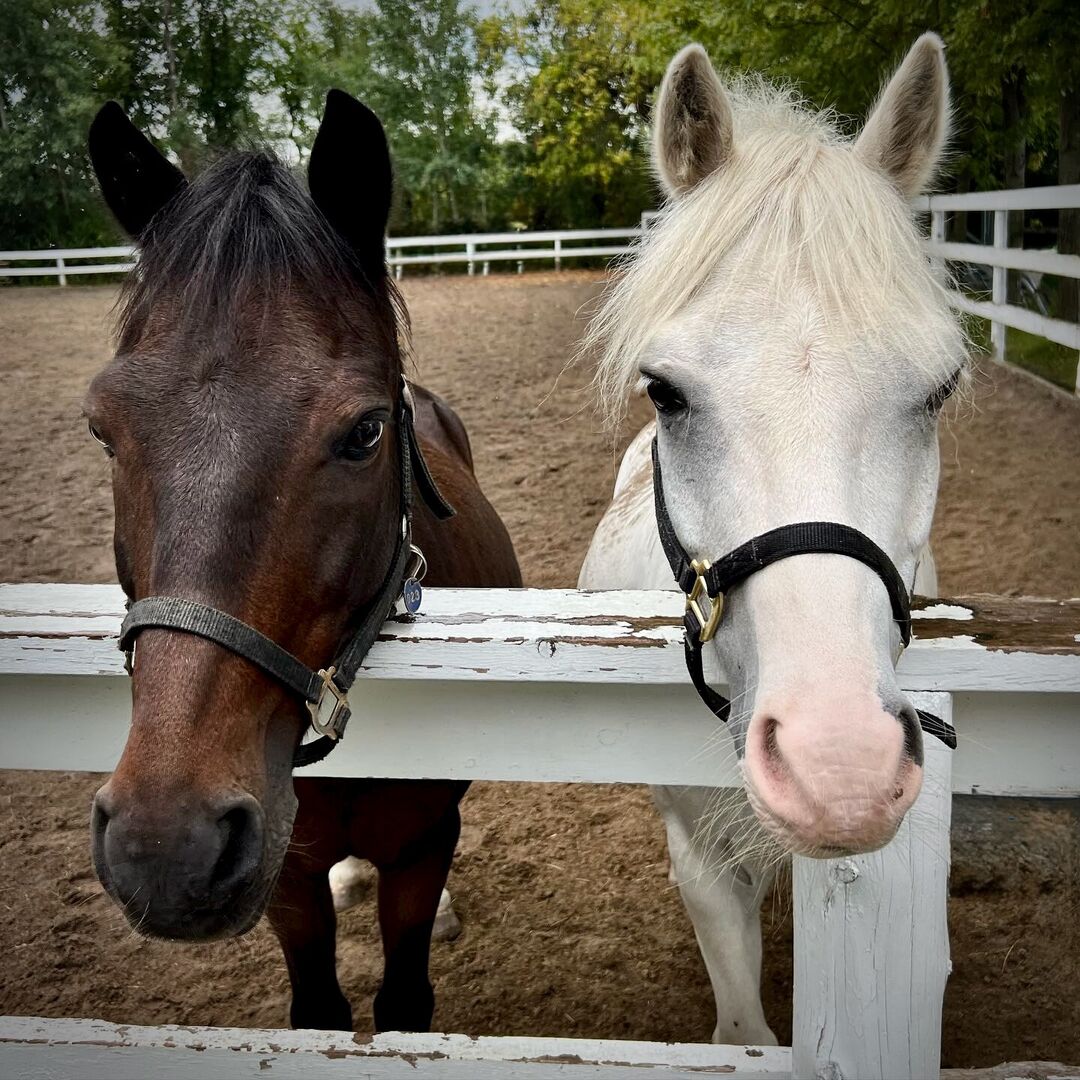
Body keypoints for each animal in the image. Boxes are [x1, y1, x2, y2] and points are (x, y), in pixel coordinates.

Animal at [84, 89, 521, 1033]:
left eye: (364, 432)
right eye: (102, 428)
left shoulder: (423, 847)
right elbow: (318, 1009)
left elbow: (403, 1003)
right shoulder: (285, 874)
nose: (164, 846)